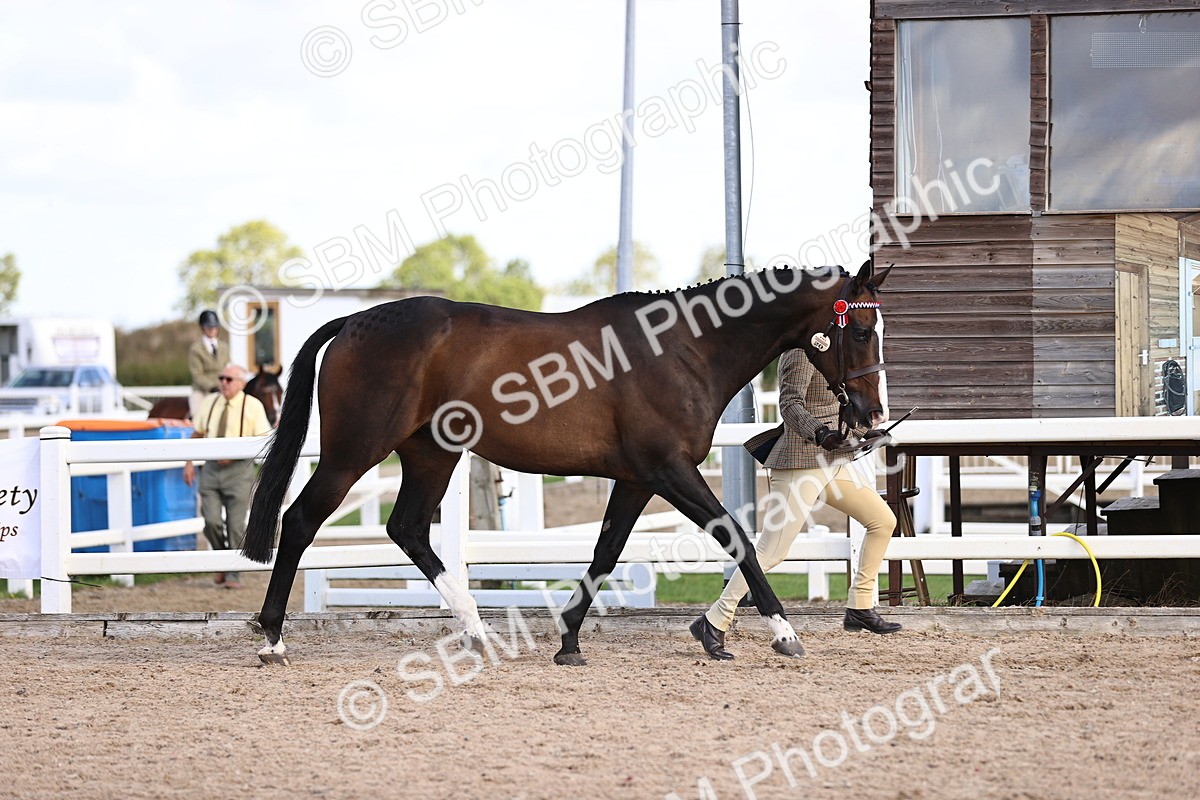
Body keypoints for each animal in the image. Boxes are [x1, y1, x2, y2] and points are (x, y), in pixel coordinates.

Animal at [242, 261, 891, 666]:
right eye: (860, 328)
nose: (870, 415)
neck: (683, 348)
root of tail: (354, 321)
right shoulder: (670, 471)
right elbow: (738, 539)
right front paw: (784, 634)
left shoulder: (635, 480)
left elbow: (605, 553)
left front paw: (569, 640)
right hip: (355, 452)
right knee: (300, 522)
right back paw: (272, 640)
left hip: (431, 455)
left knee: (407, 528)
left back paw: (478, 631)